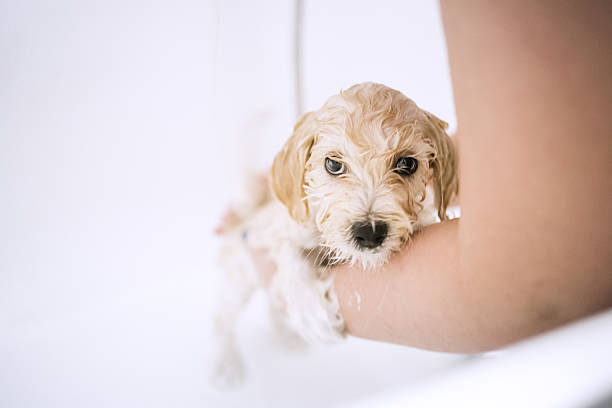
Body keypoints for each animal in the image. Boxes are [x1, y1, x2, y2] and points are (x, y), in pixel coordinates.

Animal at [213, 82, 456, 386]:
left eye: (408, 164)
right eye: (333, 164)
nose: (369, 233)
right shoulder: (274, 231)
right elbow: (290, 256)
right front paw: (311, 313)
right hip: (238, 276)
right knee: (221, 319)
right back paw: (226, 363)